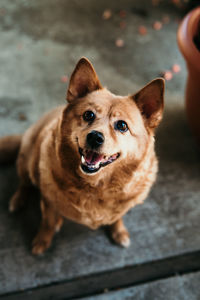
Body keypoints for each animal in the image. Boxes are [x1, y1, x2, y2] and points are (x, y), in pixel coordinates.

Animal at [0, 57, 164, 254]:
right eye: (88, 115)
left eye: (122, 125)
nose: (95, 137)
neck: (95, 186)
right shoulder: (48, 200)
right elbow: (47, 222)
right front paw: (42, 241)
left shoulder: (122, 206)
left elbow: (116, 217)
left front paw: (119, 231)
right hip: (27, 161)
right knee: (24, 183)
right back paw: (18, 200)